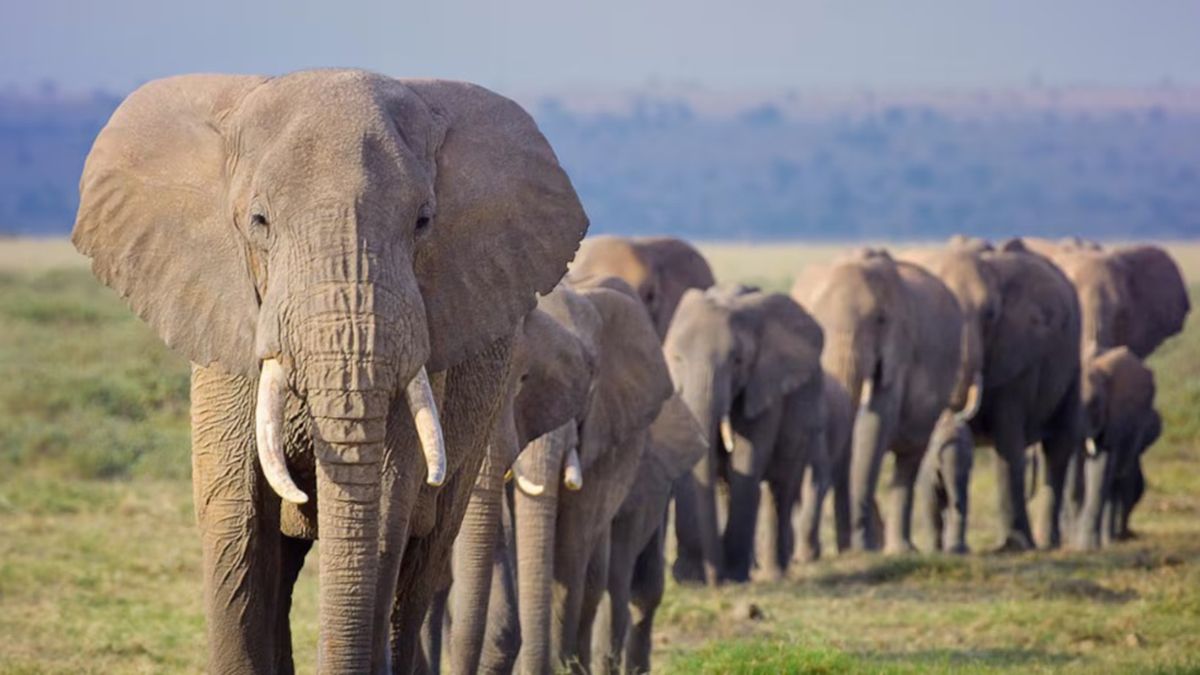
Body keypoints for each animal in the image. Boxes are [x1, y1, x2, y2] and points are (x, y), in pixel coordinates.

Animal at [665, 284, 826, 583]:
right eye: (676, 359)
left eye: (737, 361)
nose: (713, 581)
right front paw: (691, 577)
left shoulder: (764, 386)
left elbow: (746, 459)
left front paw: (733, 575)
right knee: (728, 485)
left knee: (781, 485)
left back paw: (774, 572)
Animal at [792, 249, 964, 554]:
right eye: (814, 320)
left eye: (880, 320)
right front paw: (853, 547)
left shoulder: (900, 348)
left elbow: (876, 419)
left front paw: (861, 546)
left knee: (909, 459)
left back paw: (900, 549)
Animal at [909, 238, 1084, 551]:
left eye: (990, 314)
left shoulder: (1019, 352)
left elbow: (1009, 441)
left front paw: (1014, 546)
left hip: (1073, 361)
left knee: (1059, 445)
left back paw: (1047, 543)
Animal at [1074, 347, 1161, 549]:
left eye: (1094, 403)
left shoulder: (1115, 416)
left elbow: (1101, 464)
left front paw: (1086, 547)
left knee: (1120, 477)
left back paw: (1114, 539)